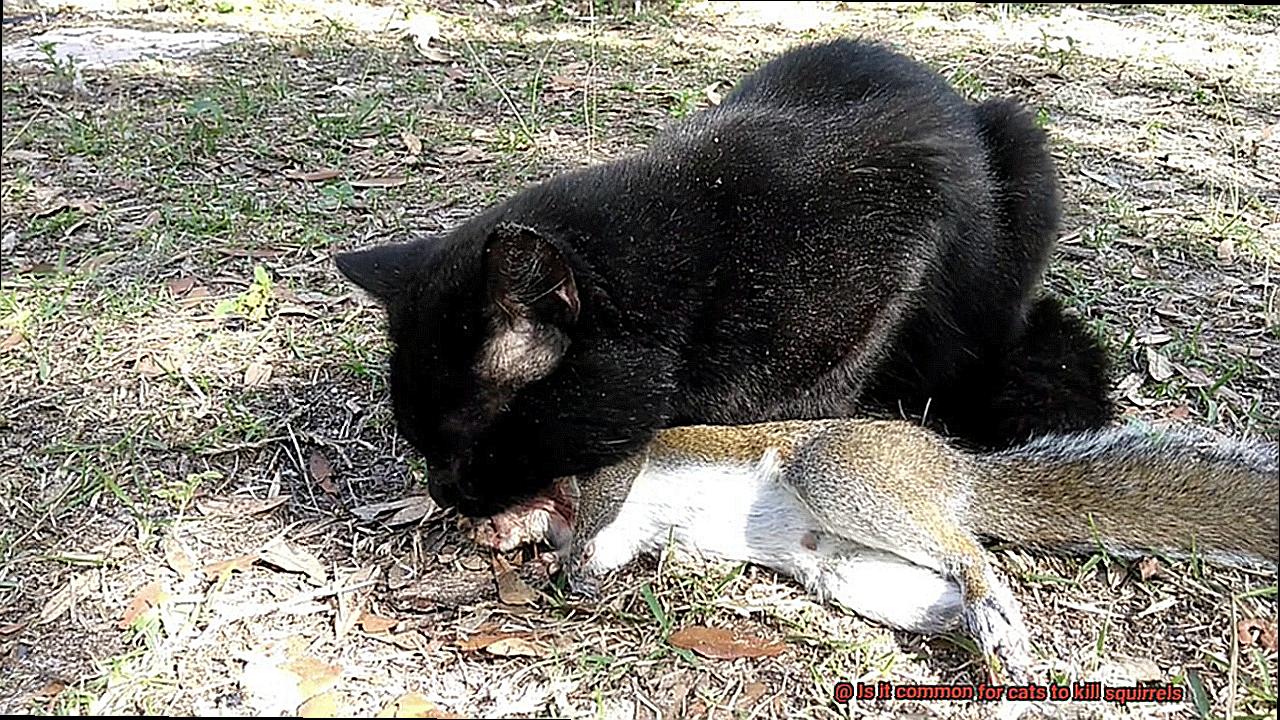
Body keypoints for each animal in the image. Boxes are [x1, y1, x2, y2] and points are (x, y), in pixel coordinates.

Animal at [473, 419, 1279, 681]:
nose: (472, 507)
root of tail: (956, 474)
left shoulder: (614, 464)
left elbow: (603, 506)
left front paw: (572, 565)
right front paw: (528, 542)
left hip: (847, 474)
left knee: (970, 553)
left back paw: (991, 603)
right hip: (847, 565)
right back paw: (983, 629)